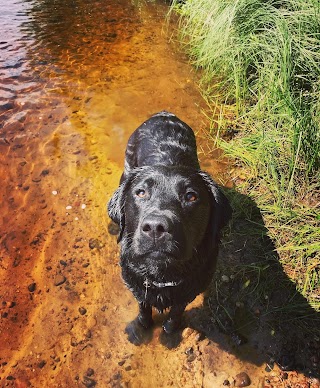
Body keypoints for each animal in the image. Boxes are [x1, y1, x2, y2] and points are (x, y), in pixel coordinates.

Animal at [109, 110, 231, 344]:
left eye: (191, 196)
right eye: (141, 192)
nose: (156, 227)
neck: (162, 276)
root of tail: (163, 114)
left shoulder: (191, 289)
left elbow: (176, 311)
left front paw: (170, 331)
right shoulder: (136, 285)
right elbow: (143, 308)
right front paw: (141, 328)